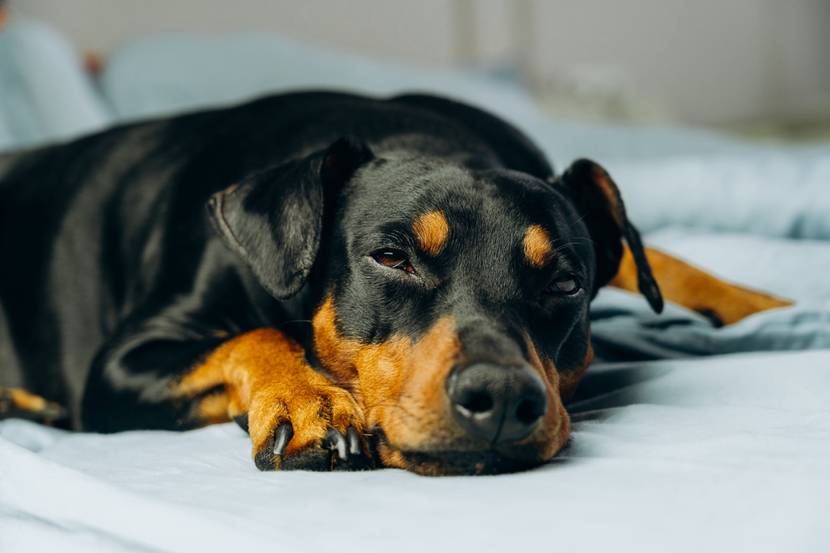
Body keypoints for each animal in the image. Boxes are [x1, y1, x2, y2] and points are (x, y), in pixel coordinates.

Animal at [0, 91, 792, 474]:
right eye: (390, 256)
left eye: (566, 281)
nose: (501, 400)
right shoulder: (118, 367)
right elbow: (255, 335)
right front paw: (311, 400)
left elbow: (644, 253)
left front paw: (758, 301)